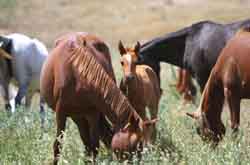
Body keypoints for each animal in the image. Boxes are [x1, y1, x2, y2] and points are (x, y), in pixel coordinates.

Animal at [39, 32, 155, 164]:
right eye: (136, 144)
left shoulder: (92, 114)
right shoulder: (61, 114)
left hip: (80, 116)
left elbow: (94, 145)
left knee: (87, 143)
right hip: (76, 115)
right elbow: (57, 146)